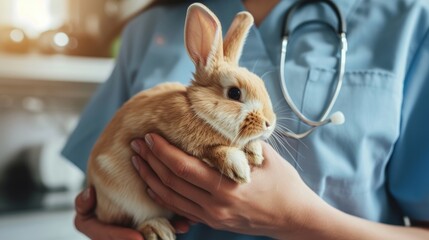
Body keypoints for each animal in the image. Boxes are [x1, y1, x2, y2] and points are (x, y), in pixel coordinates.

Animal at [86, 2, 278, 240]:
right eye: (234, 93)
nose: (270, 123)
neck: (197, 110)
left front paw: (255, 153)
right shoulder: (183, 142)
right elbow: (212, 150)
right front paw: (239, 168)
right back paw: (158, 229)